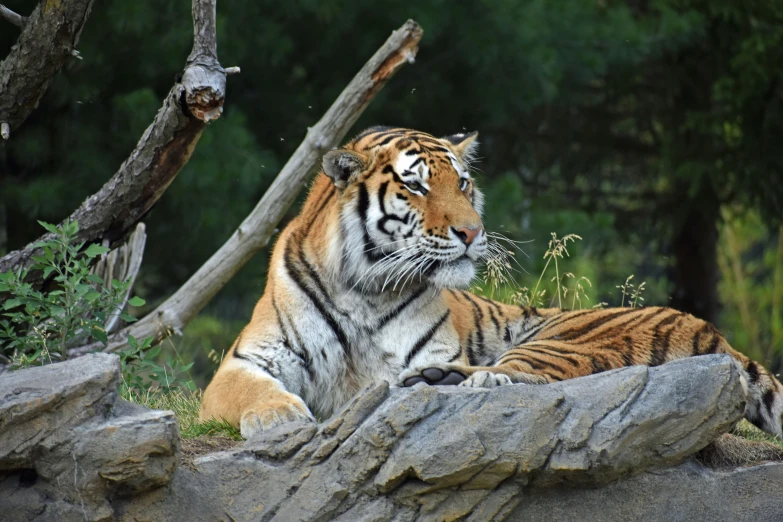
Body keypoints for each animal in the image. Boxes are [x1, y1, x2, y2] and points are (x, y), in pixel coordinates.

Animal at [202, 127, 783, 438]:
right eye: (416, 187)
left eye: (462, 182)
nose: (472, 231)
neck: (364, 289)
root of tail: (717, 334)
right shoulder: (249, 360)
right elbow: (250, 390)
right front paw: (278, 417)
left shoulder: (428, 347)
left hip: (566, 338)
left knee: (529, 379)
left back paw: (453, 380)